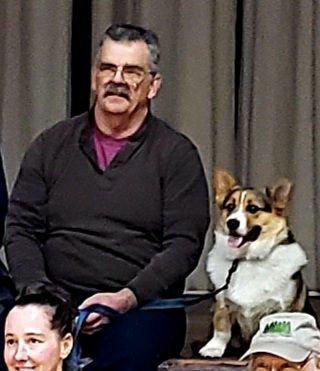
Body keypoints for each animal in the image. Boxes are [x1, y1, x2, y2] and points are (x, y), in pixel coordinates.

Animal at [200, 170, 308, 358]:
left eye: (252, 209)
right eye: (230, 207)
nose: (231, 223)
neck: (247, 259)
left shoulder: (281, 308)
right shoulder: (222, 302)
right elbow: (222, 327)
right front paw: (213, 349)